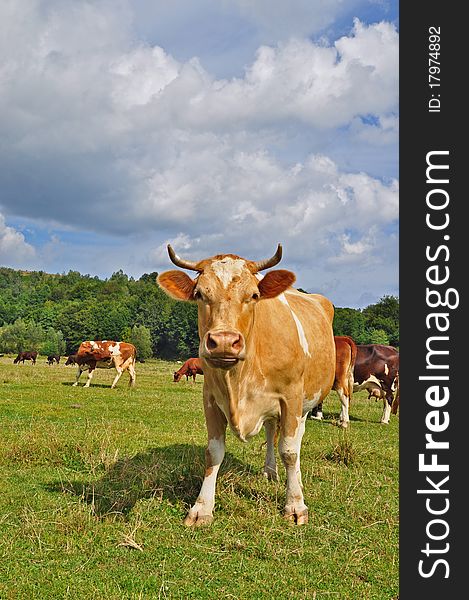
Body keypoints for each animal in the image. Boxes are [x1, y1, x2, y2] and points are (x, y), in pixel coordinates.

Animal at [158, 244, 336, 524]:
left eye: (253, 295)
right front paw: (202, 507)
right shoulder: (210, 397)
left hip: (307, 402)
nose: (223, 341)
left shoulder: (291, 397)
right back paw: (270, 471)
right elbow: (213, 452)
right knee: (271, 430)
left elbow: (290, 451)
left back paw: (296, 481)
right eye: (199, 294)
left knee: (295, 439)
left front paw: (295, 505)